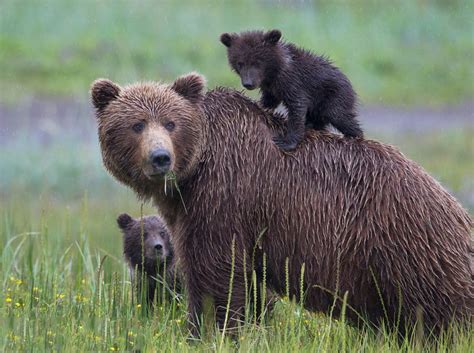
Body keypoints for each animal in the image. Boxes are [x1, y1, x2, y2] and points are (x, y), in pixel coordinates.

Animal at [90, 73, 472, 334]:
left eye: (171, 123)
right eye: (136, 124)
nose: (160, 158)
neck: (197, 170)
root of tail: (450, 201)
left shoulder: (225, 198)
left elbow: (216, 273)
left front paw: (209, 329)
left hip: (406, 245)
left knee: (441, 311)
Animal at [219, 27, 362, 148]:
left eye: (257, 62)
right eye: (240, 63)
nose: (248, 83)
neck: (274, 73)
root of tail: (350, 84)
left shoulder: (294, 82)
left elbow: (297, 107)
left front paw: (286, 141)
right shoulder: (271, 88)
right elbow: (269, 101)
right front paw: (259, 104)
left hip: (334, 96)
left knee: (340, 116)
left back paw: (354, 135)